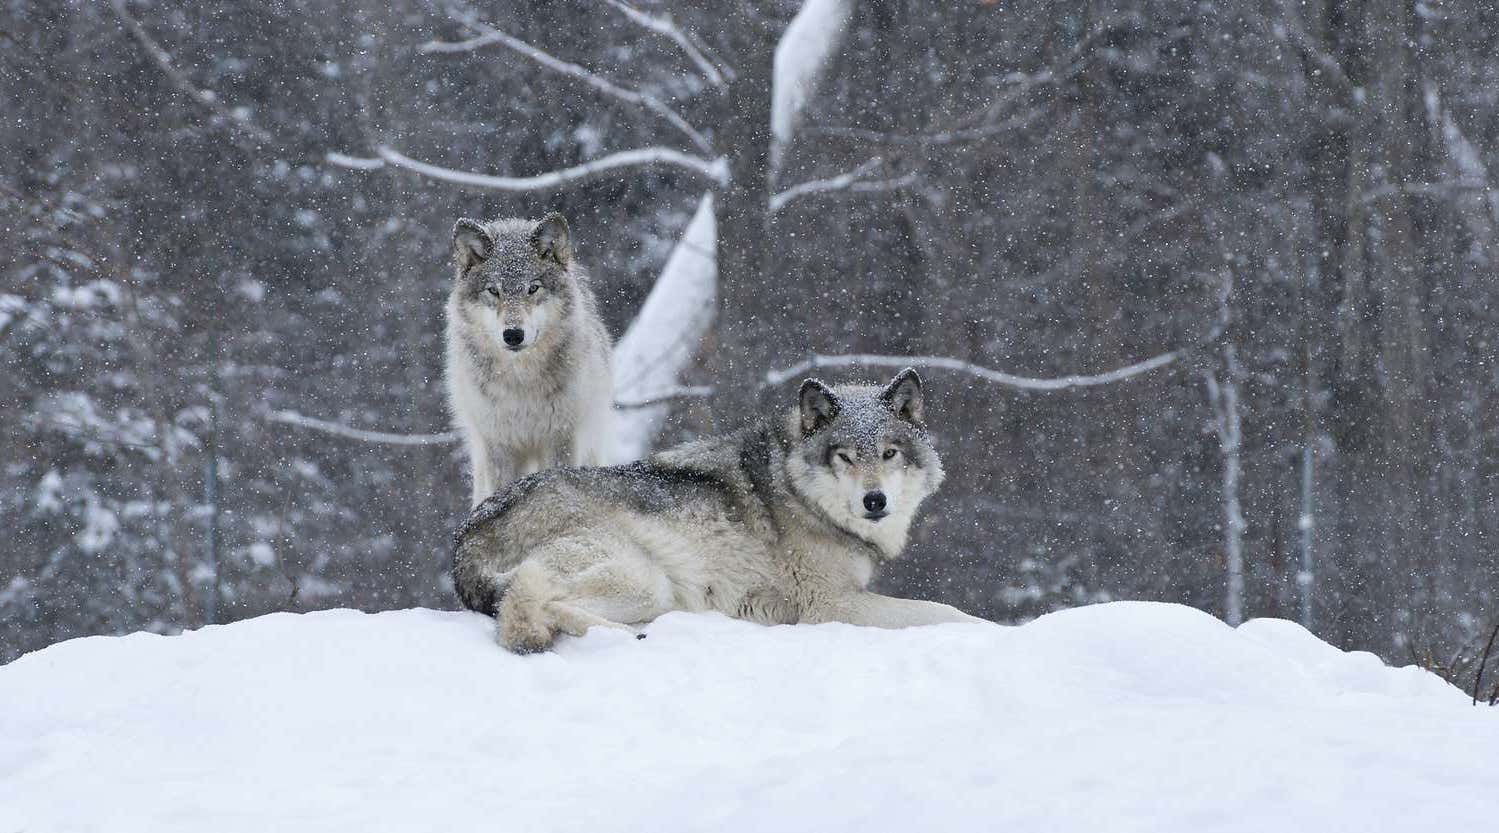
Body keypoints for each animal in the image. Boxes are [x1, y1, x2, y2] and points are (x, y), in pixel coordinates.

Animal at [445, 212, 613, 507]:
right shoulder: (498, 444)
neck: (520, 381)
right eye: (493, 291)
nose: (513, 334)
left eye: (533, 288)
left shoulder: (561, 437)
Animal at [453, 368, 986, 652]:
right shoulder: (830, 605)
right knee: (528, 604)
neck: (799, 493)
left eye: (889, 453)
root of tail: (464, 543)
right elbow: (945, 612)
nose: (875, 501)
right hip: (644, 580)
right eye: (845, 457)